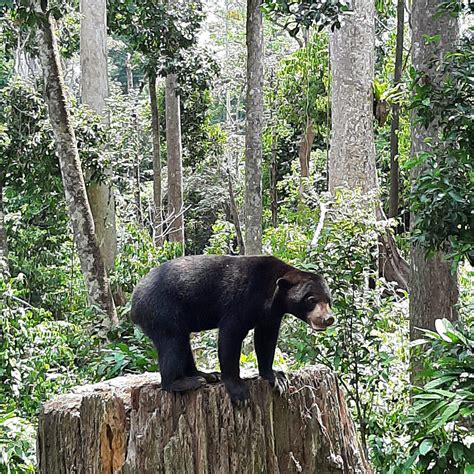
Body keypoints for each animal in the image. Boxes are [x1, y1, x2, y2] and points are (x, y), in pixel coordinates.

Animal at [131, 254, 336, 402]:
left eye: (329, 300)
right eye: (311, 300)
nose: (328, 319)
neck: (271, 295)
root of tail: (134, 302)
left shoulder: (269, 315)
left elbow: (266, 339)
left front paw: (277, 378)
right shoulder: (241, 300)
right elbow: (230, 336)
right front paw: (239, 392)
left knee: (182, 343)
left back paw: (206, 375)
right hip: (162, 310)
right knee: (172, 342)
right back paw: (183, 382)